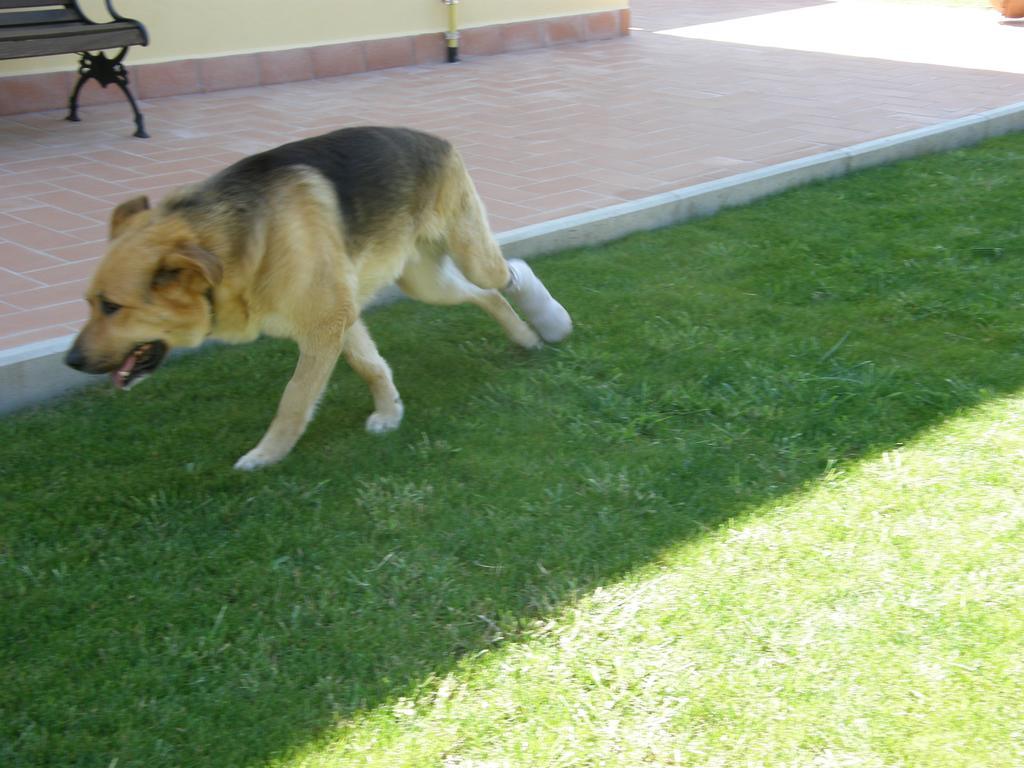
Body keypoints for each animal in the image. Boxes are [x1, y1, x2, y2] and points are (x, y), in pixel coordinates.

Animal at [67, 126, 573, 468]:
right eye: (90, 303)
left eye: (112, 306)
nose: (71, 361)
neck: (234, 245)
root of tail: (437, 140)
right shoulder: (338, 320)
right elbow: (371, 366)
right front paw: (390, 413)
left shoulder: (326, 323)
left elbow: (294, 398)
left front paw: (267, 454)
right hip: (427, 285)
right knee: (486, 296)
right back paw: (525, 335)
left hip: (468, 256)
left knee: (508, 274)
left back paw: (548, 318)